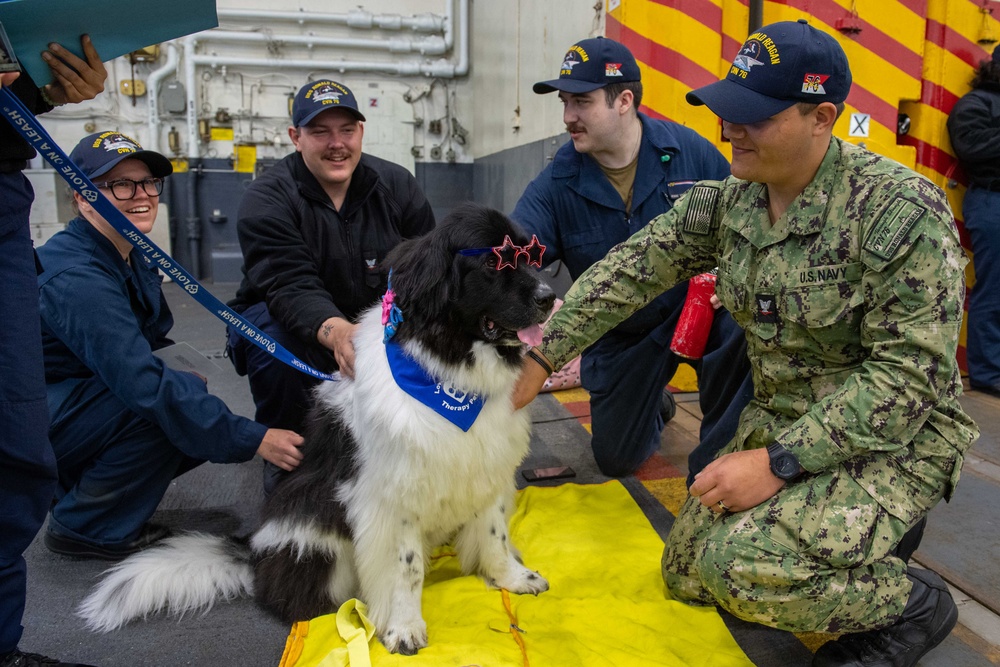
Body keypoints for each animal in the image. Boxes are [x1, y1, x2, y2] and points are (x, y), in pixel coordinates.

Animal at [80, 206, 556, 656]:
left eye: (530, 257)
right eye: (494, 262)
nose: (550, 297)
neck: (449, 377)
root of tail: (254, 553)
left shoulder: (486, 462)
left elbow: (494, 534)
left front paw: (511, 577)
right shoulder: (393, 491)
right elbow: (406, 567)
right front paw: (403, 628)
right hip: (315, 535)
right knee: (296, 595)